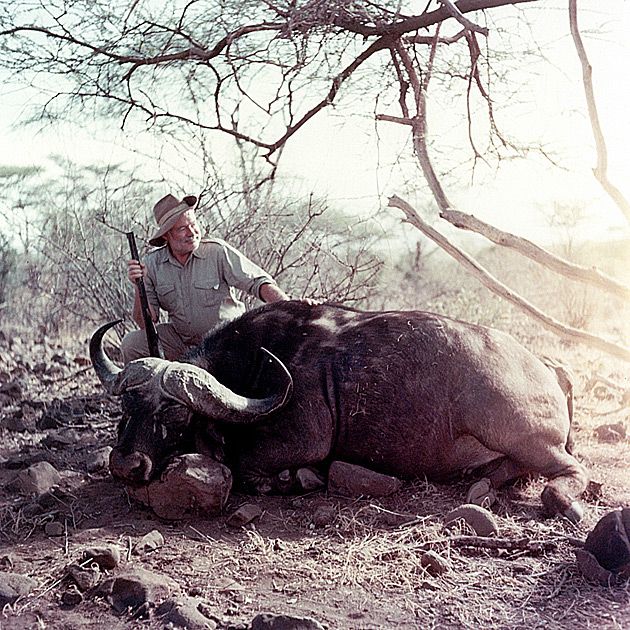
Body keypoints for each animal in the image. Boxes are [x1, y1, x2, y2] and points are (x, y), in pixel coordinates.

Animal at [91, 302, 592, 524]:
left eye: (174, 414)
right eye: (125, 408)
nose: (126, 464)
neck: (260, 364)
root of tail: (548, 367)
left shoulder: (300, 441)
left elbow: (247, 464)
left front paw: (299, 479)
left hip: (523, 435)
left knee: (569, 472)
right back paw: (486, 482)